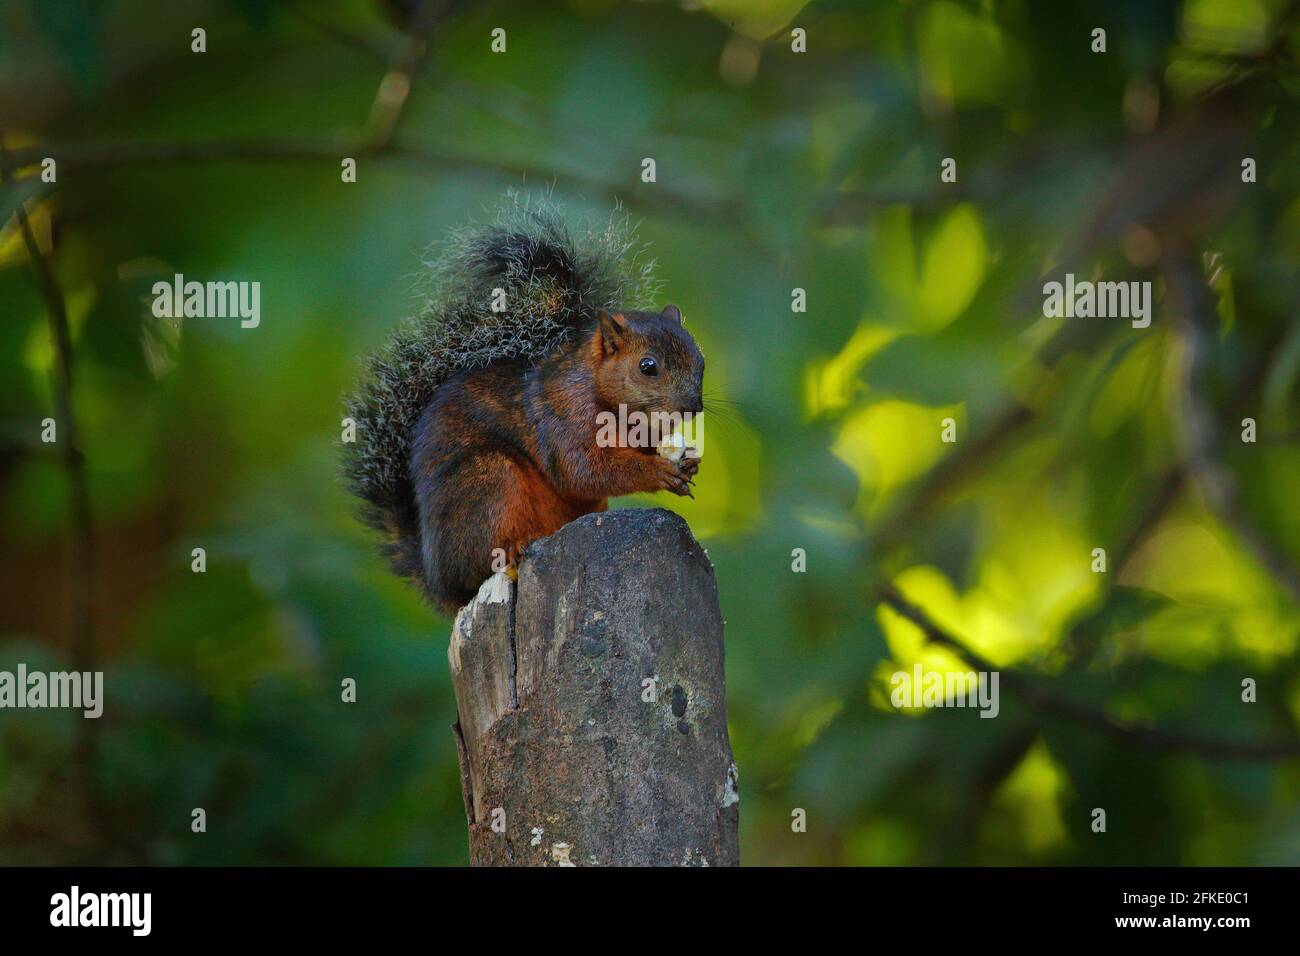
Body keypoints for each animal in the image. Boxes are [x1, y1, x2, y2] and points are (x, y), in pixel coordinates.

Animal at [344, 197, 705, 614]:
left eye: (701, 360)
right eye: (648, 366)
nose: (693, 407)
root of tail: (437, 582)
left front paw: (686, 461)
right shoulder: (564, 419)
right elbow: (584, 470)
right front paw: (658, 471)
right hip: (487, 479)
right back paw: (512, 549)